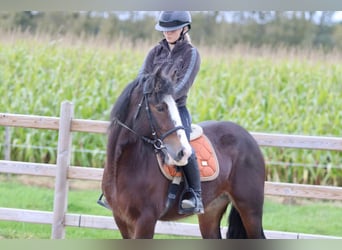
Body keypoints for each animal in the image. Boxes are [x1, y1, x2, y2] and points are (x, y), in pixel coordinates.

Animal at [101, 69, 268, 239]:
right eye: (160, 107)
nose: (183, 152)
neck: (124, 166)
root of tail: (248, 137)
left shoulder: (145, 220)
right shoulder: (121, 220)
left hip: (250, 209)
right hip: (212, 210)